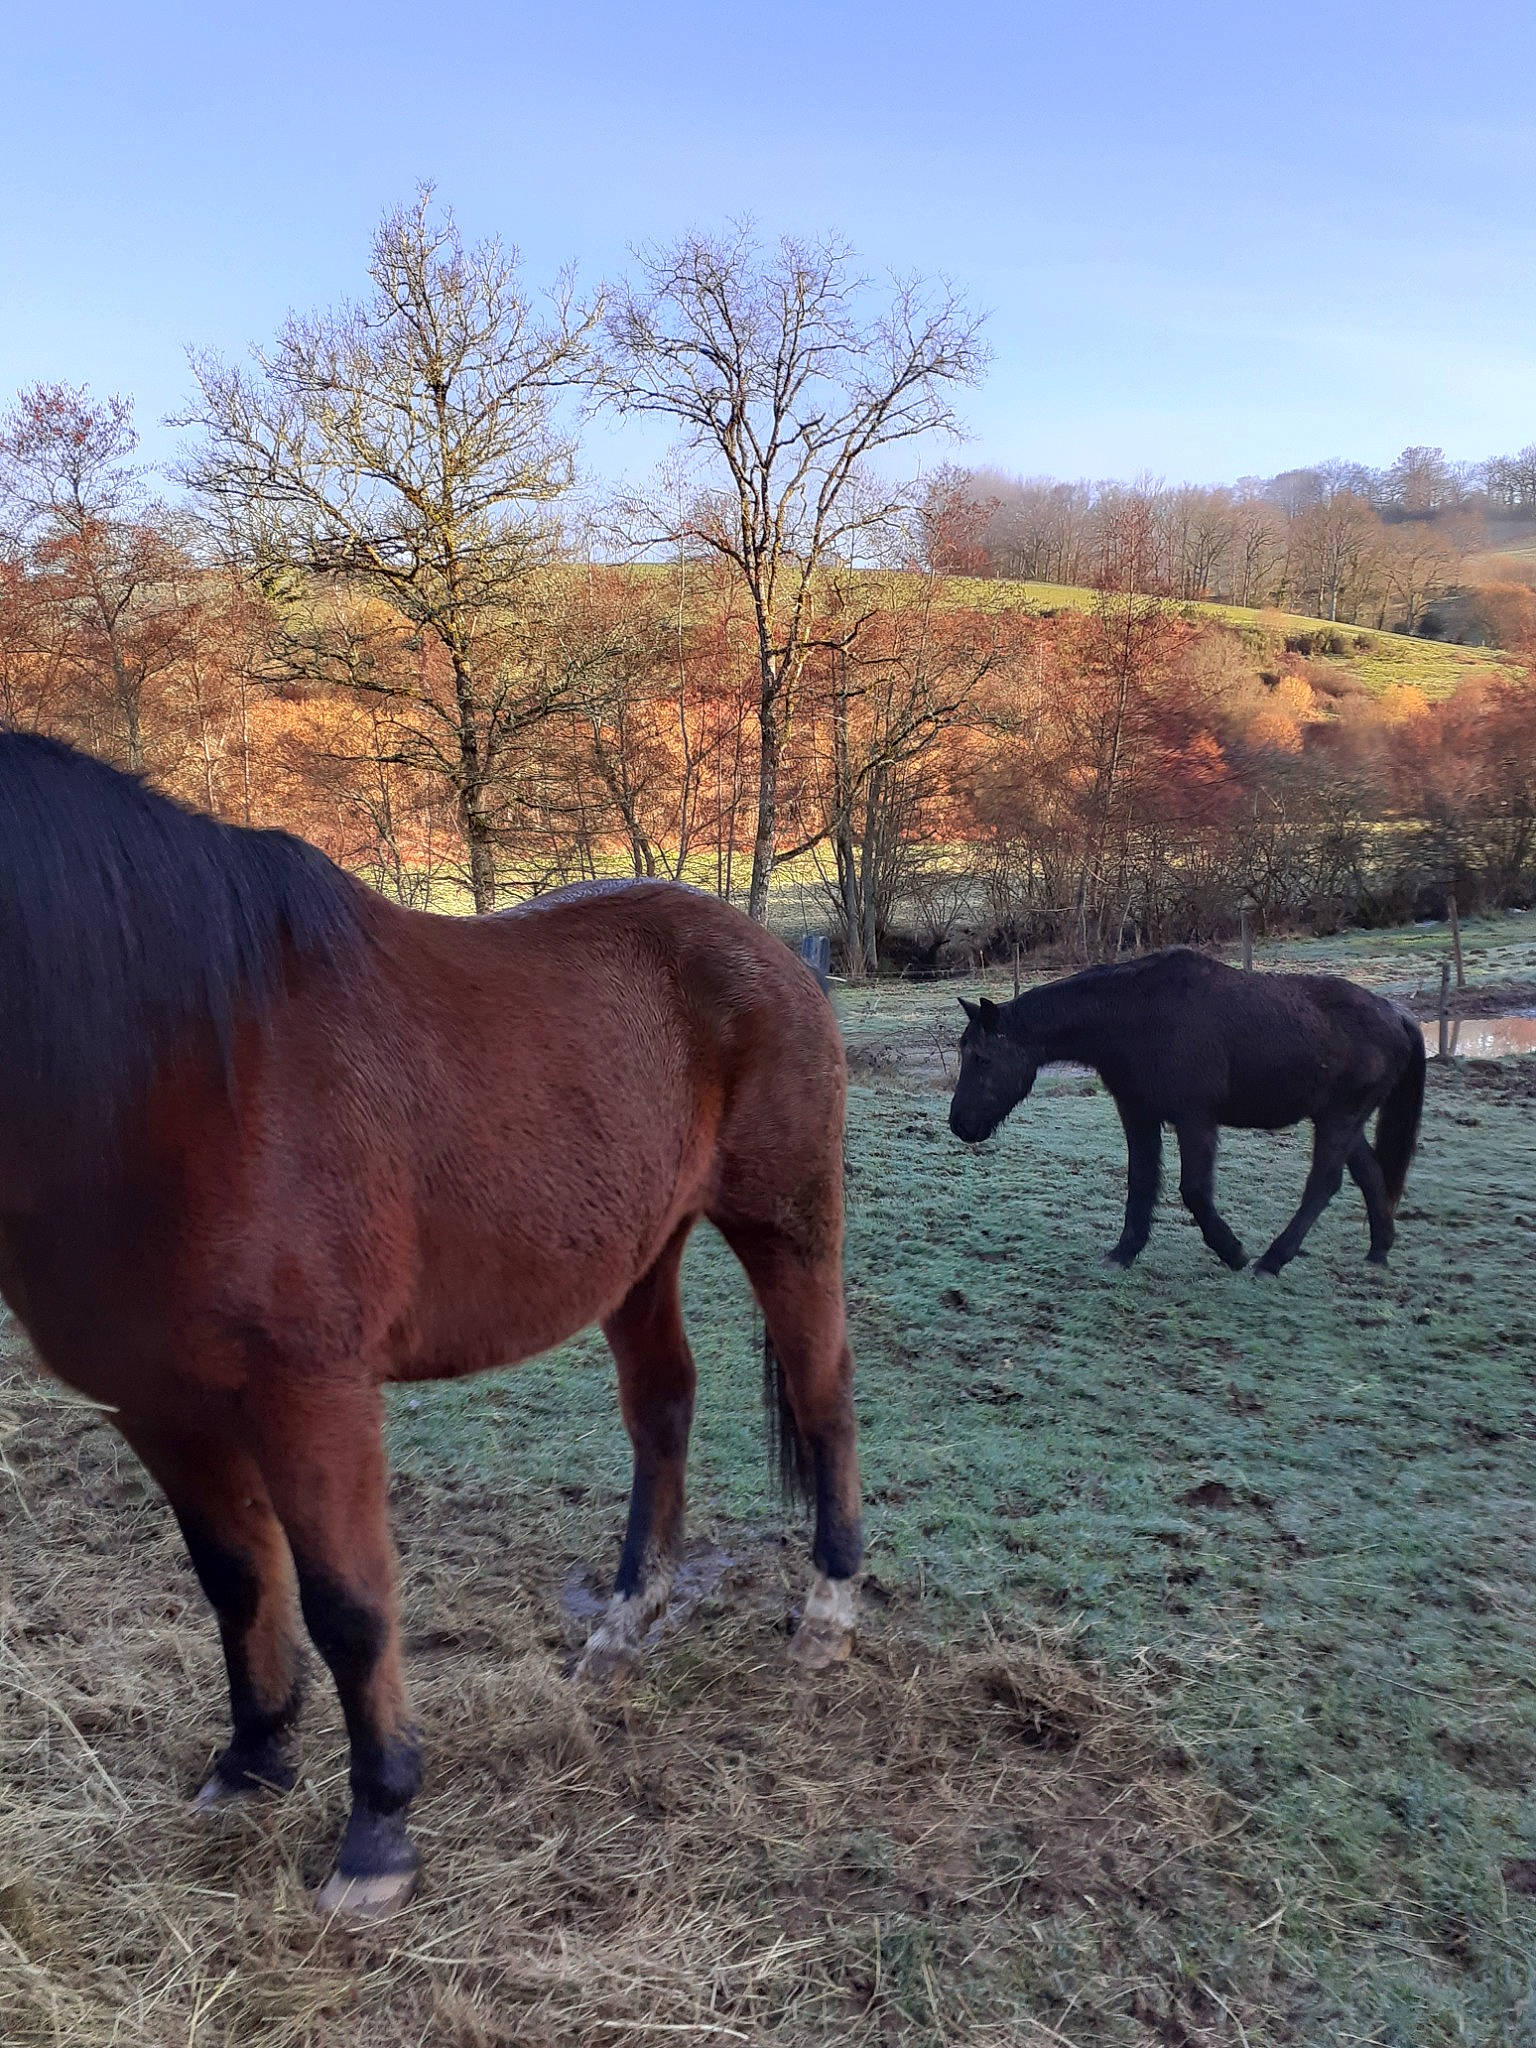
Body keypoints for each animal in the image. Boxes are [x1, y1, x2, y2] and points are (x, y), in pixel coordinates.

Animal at [0, 733, 861, 1920]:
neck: (178, 1070)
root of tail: (775, 954)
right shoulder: (156, 1403)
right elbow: (236, 1580)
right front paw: (252, 1761)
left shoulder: (311, 1395)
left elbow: (348, 1604)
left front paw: (378, 1829)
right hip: (641, 1252)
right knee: (664, 1408)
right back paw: (622, 1626)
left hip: (787, 1222)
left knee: (824, 1396)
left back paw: (828, 1612)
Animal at [948, 947, 1425, 1276]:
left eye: (982, 1059)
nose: (959, 1125)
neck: (1138, 1015)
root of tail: (1397, 1014)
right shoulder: (1138, 1115)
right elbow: (1140, 1184)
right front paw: (1123, 1253)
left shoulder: (1195, 1119)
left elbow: (1193, 1190)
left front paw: (1232, 1251)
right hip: (1339, 1118)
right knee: (1370, 1174)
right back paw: (1378, 1251)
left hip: (1339, 1118)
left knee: (1323, 1185)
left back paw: (1271, 1261)